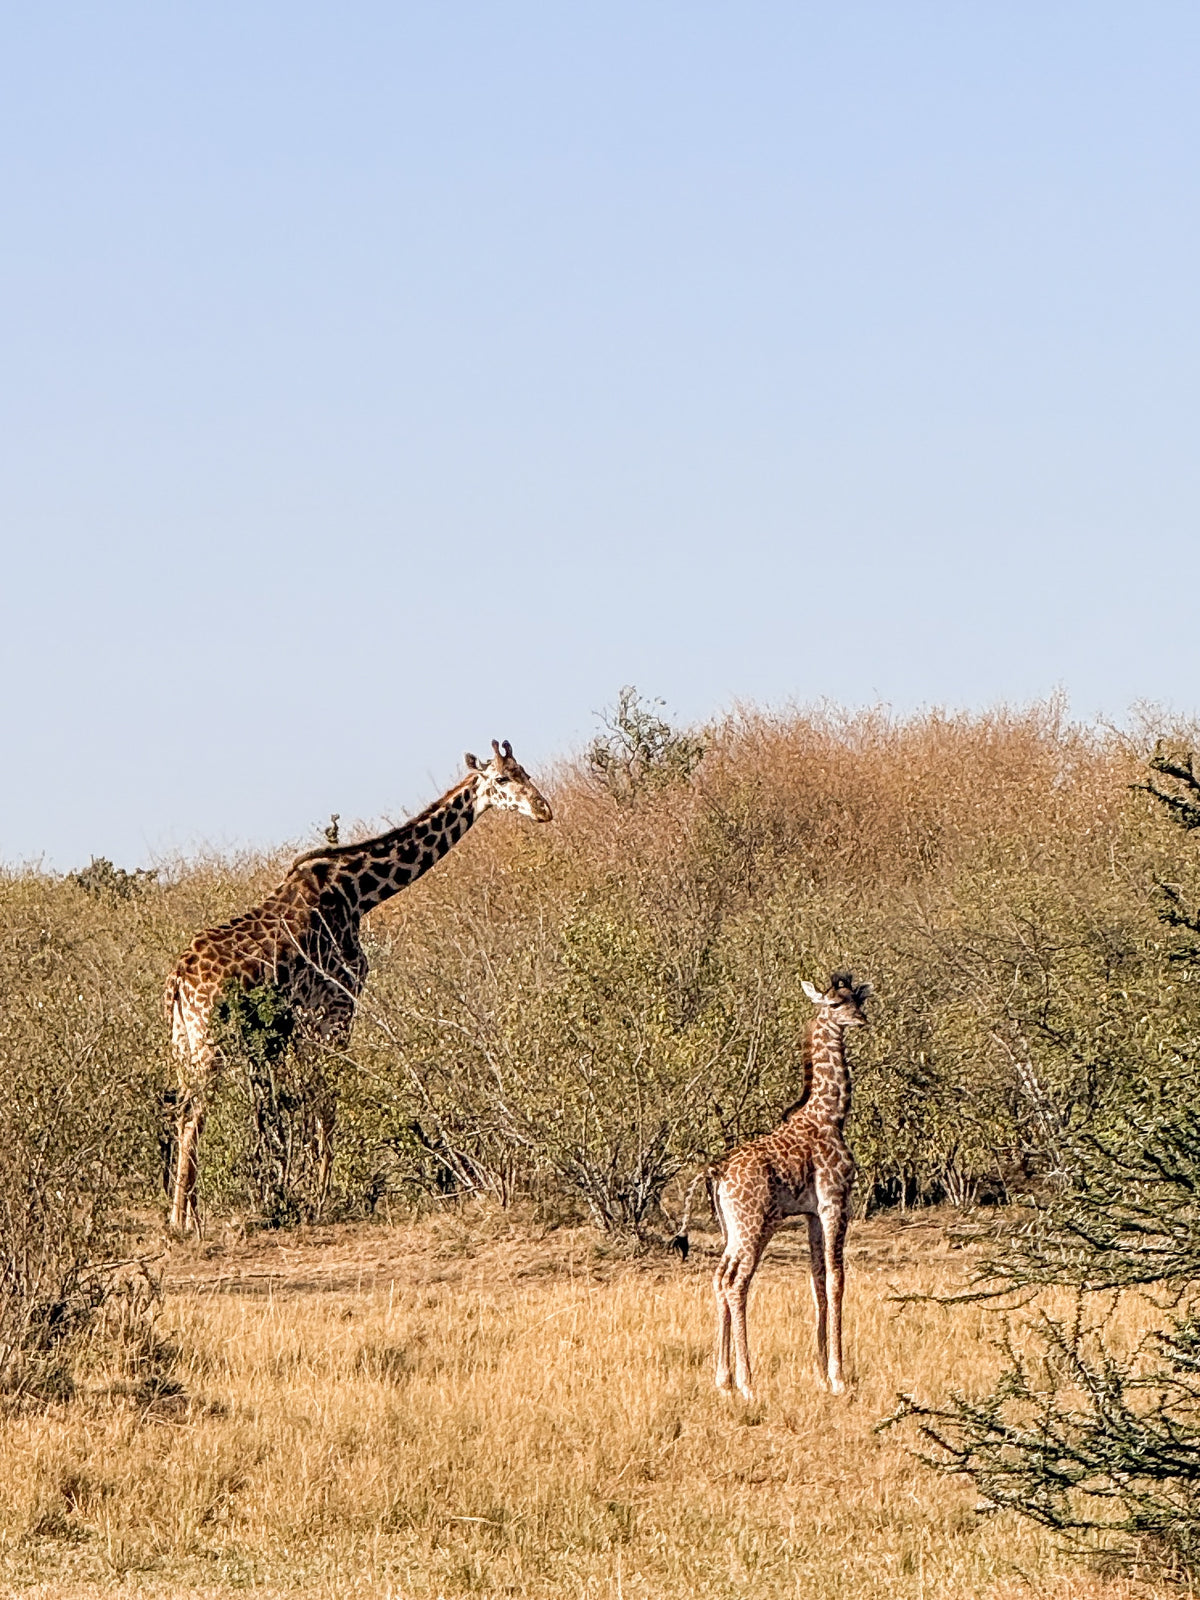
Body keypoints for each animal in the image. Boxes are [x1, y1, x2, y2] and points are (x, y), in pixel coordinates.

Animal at [163, 740, 552, 1233]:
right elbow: (327, 1100)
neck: (360, 891)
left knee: (183, 1111)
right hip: (212, 1041)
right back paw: (183, 1220)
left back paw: (186, 1214)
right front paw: (322, 1195)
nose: (544, 810)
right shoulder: (338, 1003)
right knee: (194, 1113)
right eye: (502, 779)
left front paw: (303, 1189)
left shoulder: (307, 1020)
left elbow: (306, 1103)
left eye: (525, 773)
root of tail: (178, 981)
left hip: (184, 1041)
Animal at [675, 973, 869, 1400]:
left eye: (858, 1000)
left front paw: (820, 1374)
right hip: (755, 1225)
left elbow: (816, 1282)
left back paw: (723, 1380)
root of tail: (717, 1171)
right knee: (736, 1283)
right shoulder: (835, 1202)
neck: (832, 1115)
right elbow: (837, 1280)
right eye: (835, 1004)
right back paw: (747, 1382)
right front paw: (838, 1378)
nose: (862, 1021)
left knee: (719, 1278)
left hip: (734, 1229)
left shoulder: (812, 1213)